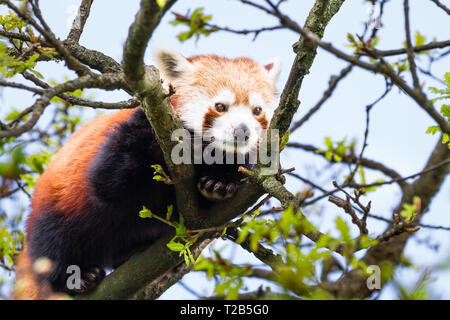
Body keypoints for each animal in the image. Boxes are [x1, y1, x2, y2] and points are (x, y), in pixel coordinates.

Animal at [12, 48, 280, 298]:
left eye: (257, 110)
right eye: (220, 107)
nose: (243, 131)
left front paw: (219, 183)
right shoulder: (133, 131)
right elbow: (107, 182)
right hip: (57, 208)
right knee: (52, 246)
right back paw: (78, 277)